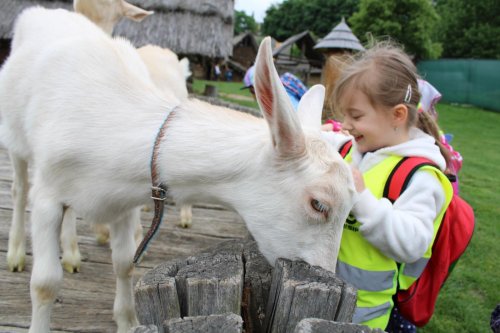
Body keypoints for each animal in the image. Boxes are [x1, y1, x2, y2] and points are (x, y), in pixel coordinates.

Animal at [0, 7, 356, 332]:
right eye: (319, 204)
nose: (326, 276)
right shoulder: (48, 197)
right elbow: (45, 283)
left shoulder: (122, 202)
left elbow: (124, 264)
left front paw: (127, 320)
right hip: (18, 143)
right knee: (19, 190)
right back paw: (16, 254)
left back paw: (72, 254)